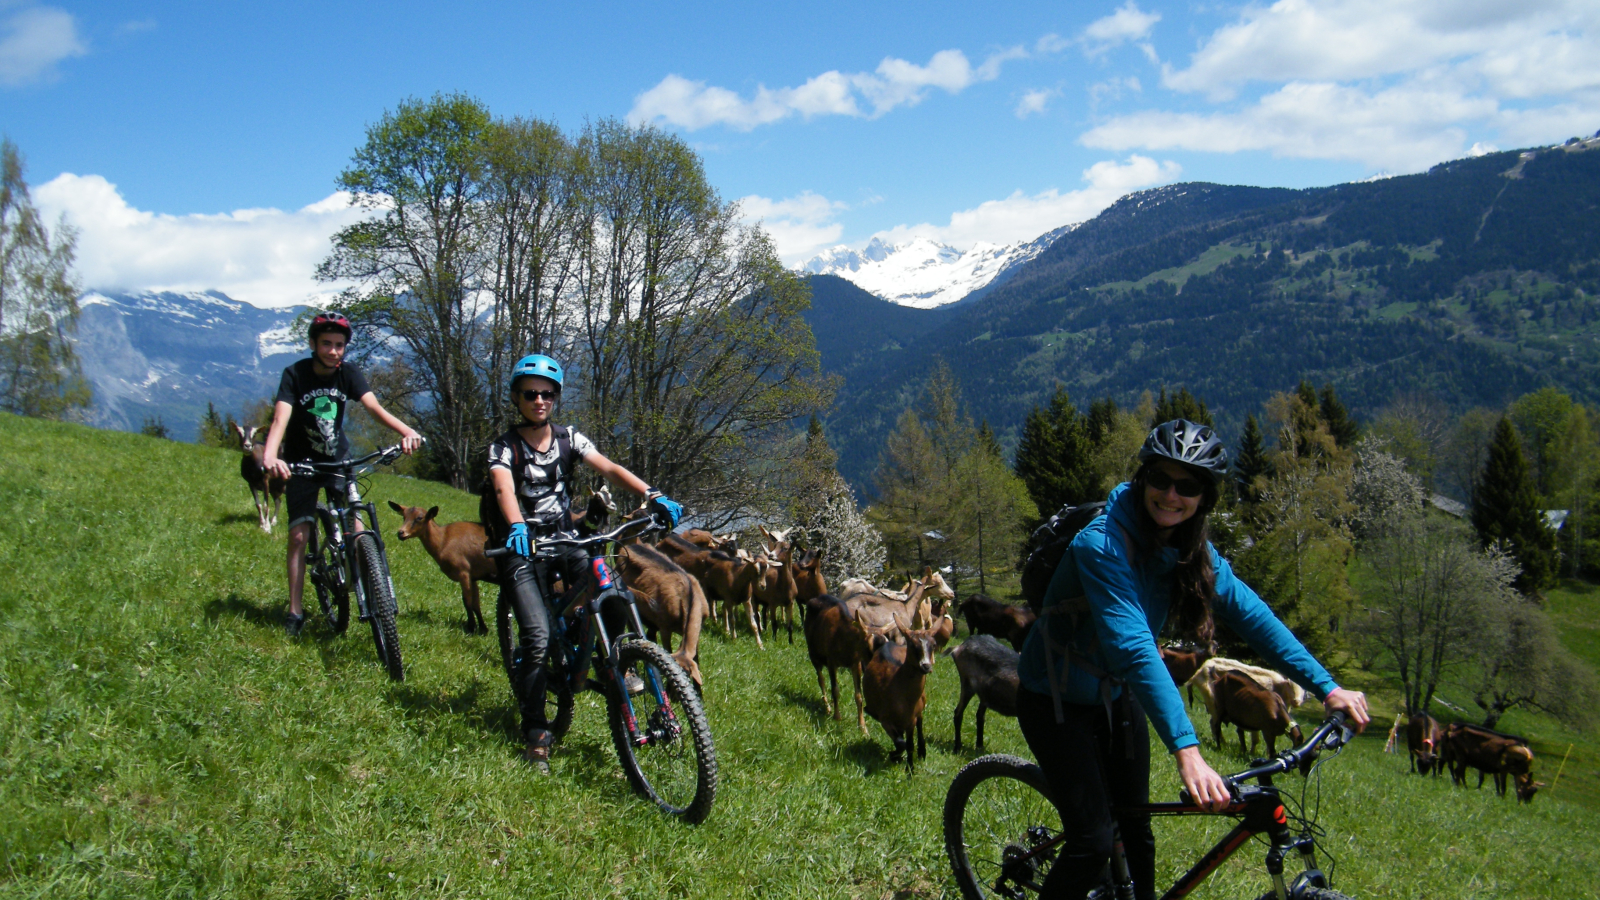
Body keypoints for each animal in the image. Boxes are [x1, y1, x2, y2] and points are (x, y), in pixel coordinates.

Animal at [387, 496, 492, 630]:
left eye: (419, 518)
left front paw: (471, 627)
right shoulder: (472, 575)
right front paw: (483, 629)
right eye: (403, 517)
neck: (443, 540)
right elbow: (476, 603)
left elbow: (467, 601)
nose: (401, 533)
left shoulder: (463, 571)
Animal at [864, 611, 934, 775]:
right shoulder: (885, 720)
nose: (926, 666)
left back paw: (922, 751)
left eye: (933, 645)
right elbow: (902, 743)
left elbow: (909, 744)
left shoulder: (911, 721)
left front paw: (910, 770)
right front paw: (895, 756)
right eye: (913, 645)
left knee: (920, 721)